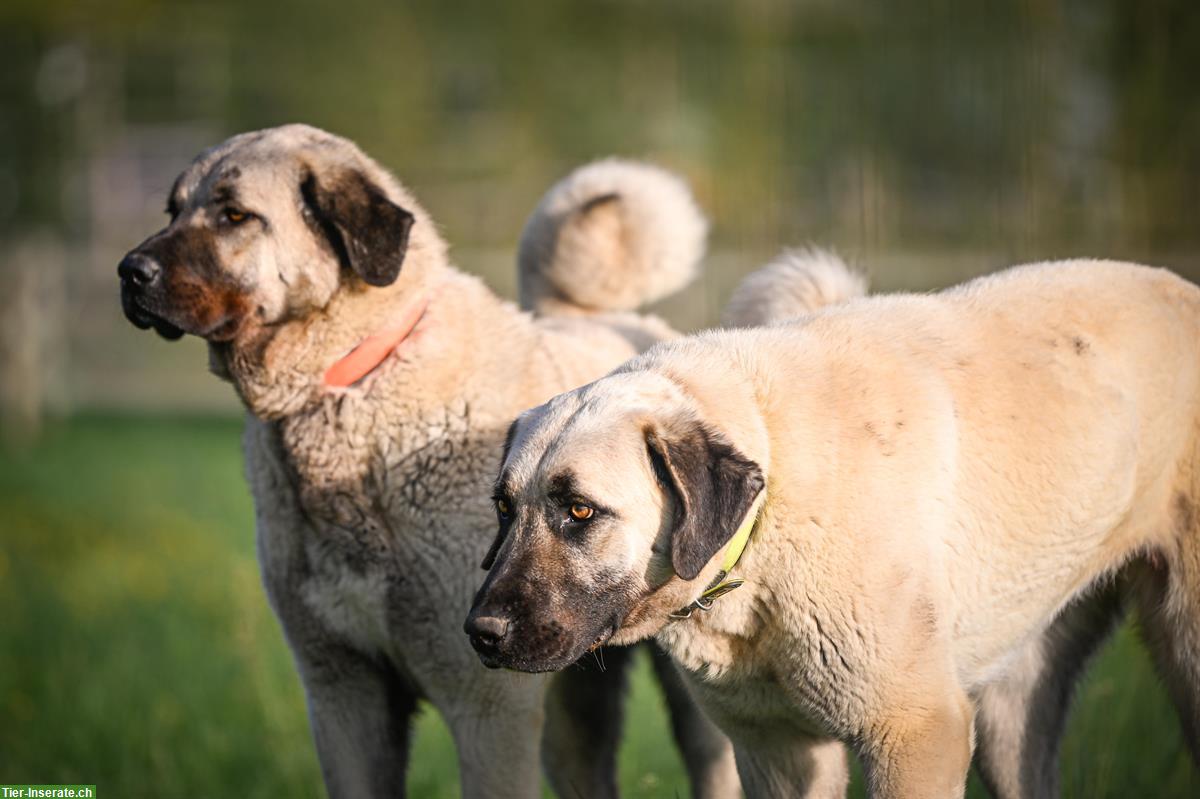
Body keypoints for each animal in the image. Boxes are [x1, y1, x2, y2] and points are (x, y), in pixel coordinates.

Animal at [117, 121, 739, 791]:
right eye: (173, 209)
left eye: (234, 214)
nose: (129, 271)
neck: (352, 386)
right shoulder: (342, 693)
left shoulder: (486, 703)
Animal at [468, 257, 1200, 791]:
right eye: (504, 508)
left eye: (580, 510)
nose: (481, 632)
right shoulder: (776, 748)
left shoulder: (915, 733)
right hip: (1016, 699)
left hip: (1182, 643)